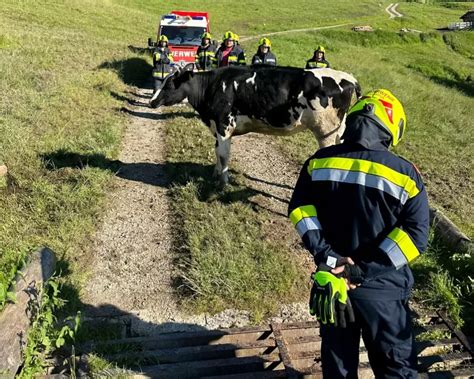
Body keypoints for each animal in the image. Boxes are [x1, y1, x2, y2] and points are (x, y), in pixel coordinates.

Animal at [150, 65, 362, 186]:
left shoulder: (224, 124)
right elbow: (217, 151)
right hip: (338, 130)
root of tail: (349, 78)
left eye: (170, 85)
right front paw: (215, 174)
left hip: (325, 131)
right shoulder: (216, 127)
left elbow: (224, 154)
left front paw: (223, 183)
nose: (152, 101)